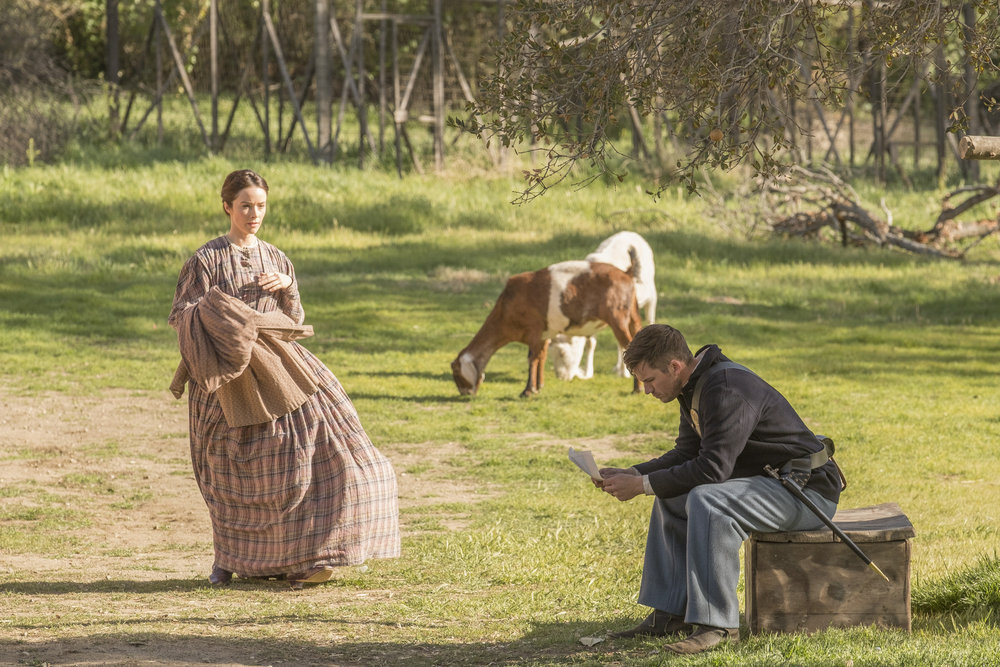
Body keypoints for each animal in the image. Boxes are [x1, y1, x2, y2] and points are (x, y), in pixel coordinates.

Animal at [452, 258, 640, 396]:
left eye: (456, 373)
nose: (464, 393)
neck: (506, 305)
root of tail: (626, 274)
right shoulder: (544, 334)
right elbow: (541, 357)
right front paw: (539, 386)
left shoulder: (534, 330)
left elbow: (532, 359)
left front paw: (528, 391)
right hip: (632, 315)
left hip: (617, 317)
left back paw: (636, 389)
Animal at [548, 234, 656, 380]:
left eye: (562, 353)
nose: (560, 377)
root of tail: (630, 233)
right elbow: (590, 343)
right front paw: (588, 373)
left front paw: (625, 373)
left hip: (651, 296)